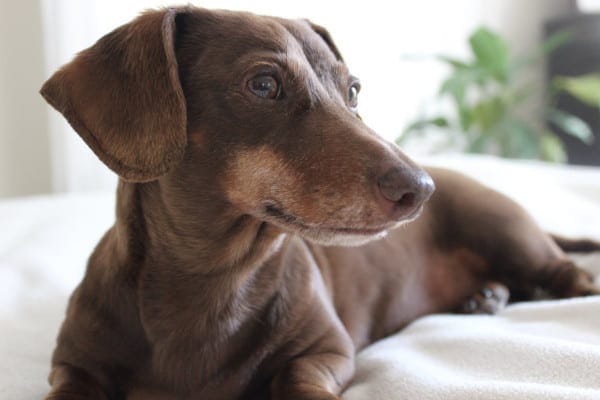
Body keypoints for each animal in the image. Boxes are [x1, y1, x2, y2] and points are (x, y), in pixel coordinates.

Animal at [38, 6, 600, 400]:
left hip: (510, 234)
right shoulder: (72, 367)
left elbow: (299, 378)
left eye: (352, 90)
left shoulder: (327, 351)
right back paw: (486, 297)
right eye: (264, 84)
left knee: (566, 273)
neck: (213, 280)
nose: (420, 190)